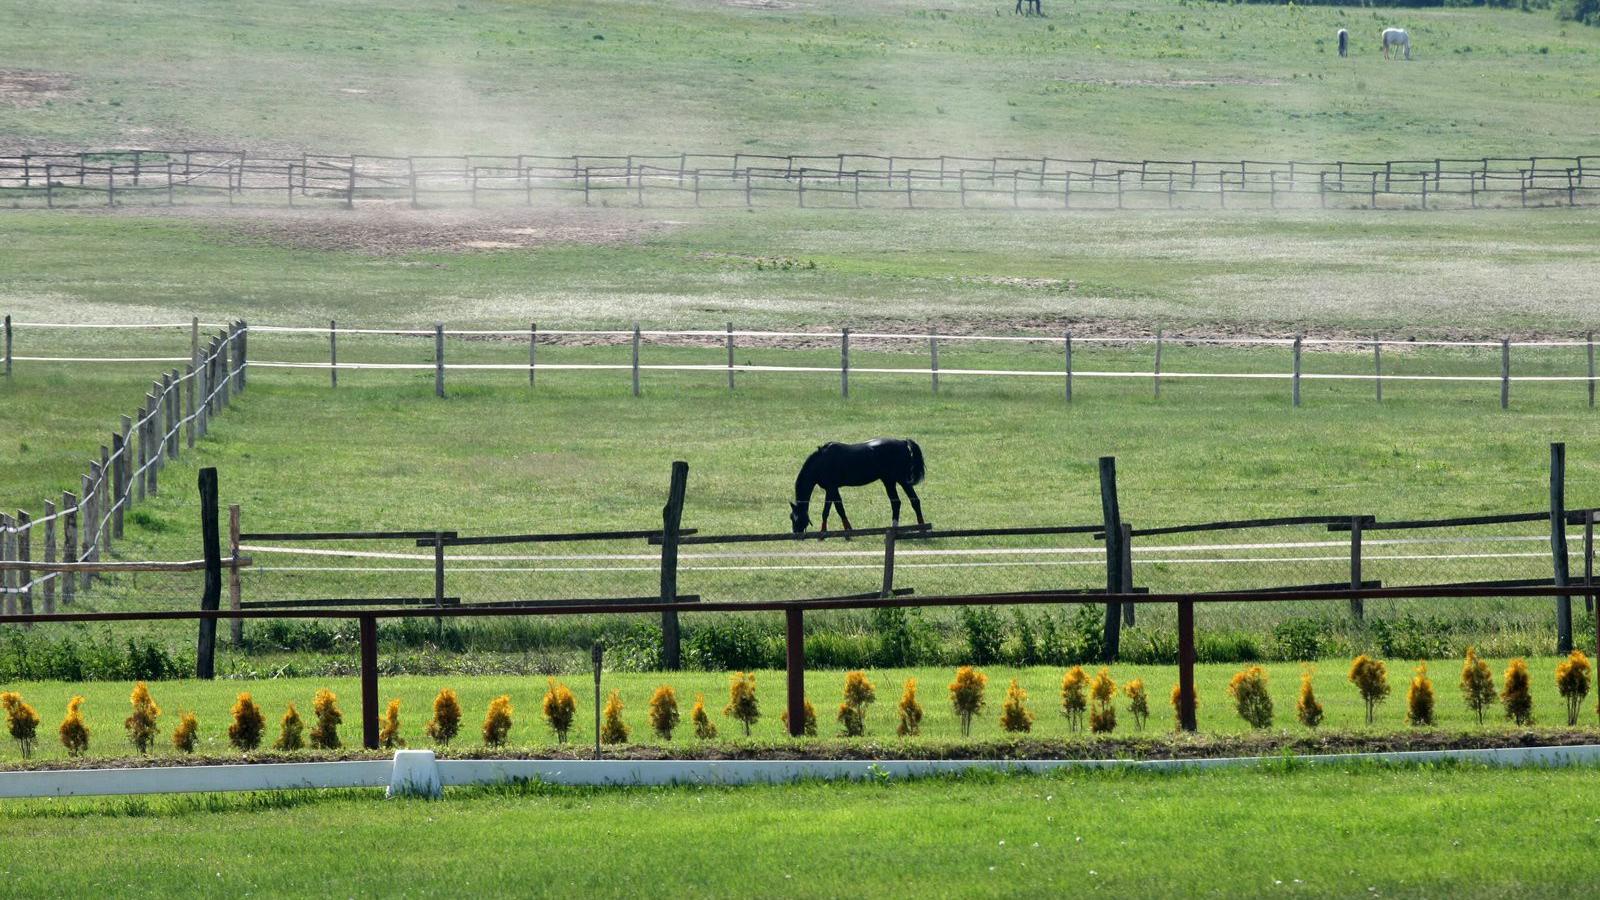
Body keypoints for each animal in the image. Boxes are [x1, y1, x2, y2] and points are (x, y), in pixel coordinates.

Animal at [787, 435, 928, 531]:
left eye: (797, 517)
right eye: (791, 517)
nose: (796, 533)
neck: (821, 462)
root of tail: (904, 442)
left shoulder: (831, 488)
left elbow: (831, 510)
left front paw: (828, 534)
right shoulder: (833, 489)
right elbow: (836, 509)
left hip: (902, 480)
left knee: (914, 501)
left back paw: (922, 529)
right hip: (889, 481)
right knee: (896, 503)